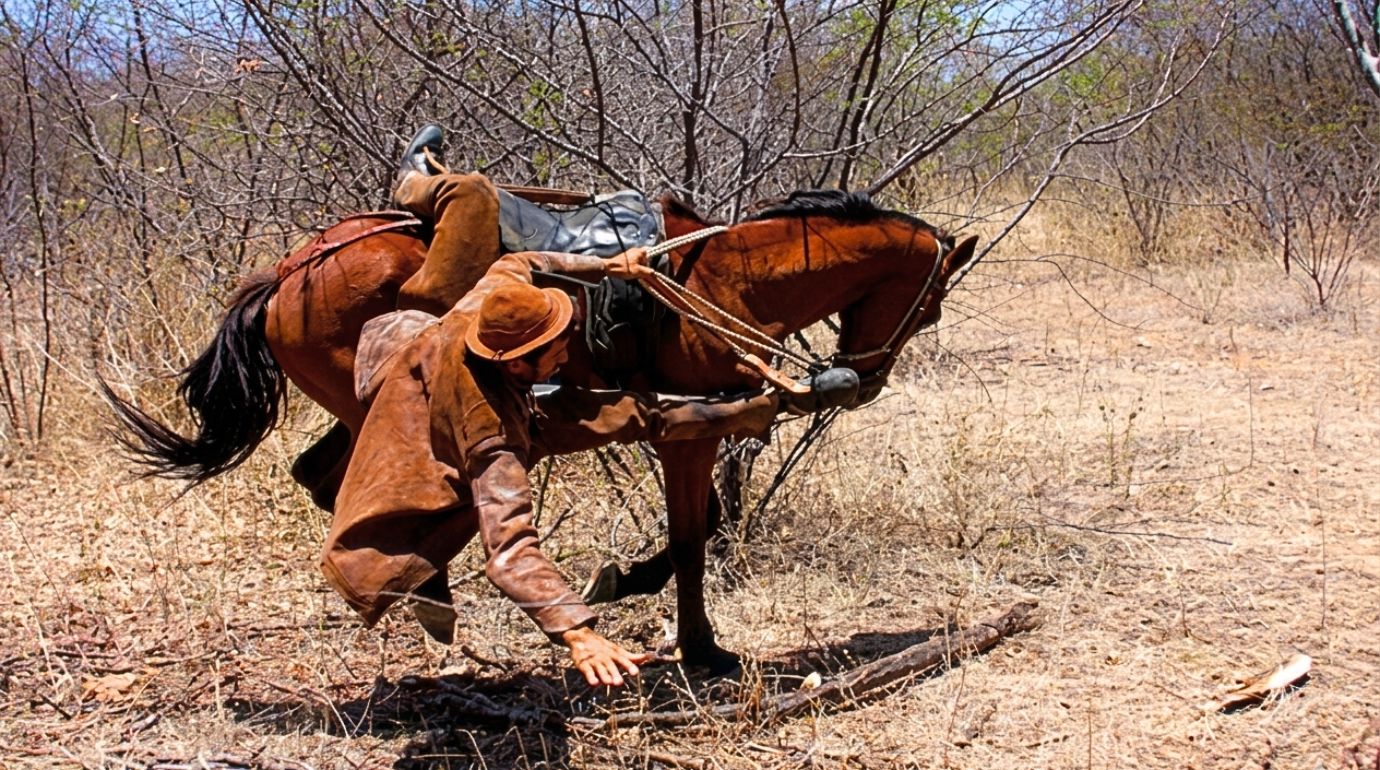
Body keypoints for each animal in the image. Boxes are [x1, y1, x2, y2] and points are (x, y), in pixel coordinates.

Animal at [107, 189, 976, 671]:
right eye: (930, 306)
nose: (864, 380)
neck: (722, 282)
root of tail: (285, 273)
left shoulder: (681, 425)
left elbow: (698, 531)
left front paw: (634, 591)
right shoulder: (689, 432)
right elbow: (694, 539)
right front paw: (697, 646)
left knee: (318, 479)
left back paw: (429, 595)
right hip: (377, 403)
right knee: (350, 486)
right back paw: (430, 593)